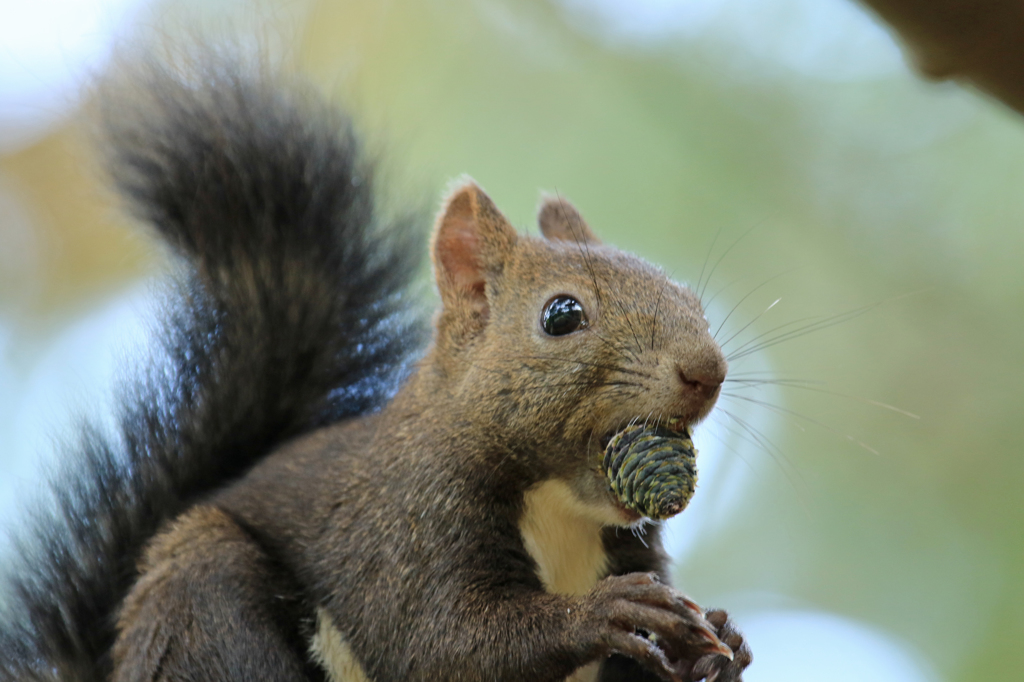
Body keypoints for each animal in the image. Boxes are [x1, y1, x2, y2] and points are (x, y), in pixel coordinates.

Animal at [0, 49, 753, 679]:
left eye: (690, 298)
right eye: (561, 316)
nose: (706, 371)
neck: (561, 508)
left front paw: (719, 643)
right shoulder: (399, 533)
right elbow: (444, 644)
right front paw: (602, 612)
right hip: (201, 597)